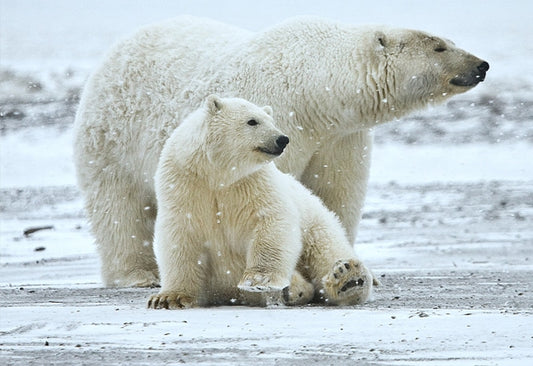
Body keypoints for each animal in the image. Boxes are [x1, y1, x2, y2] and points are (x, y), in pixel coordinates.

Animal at [75, 15, 486, 288]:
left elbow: (335, 195)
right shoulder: (282, 121)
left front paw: (351, 268)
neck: (316, 90)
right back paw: (138, 275)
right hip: (112, 139)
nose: (481, 65)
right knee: (119, 208)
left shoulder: (339, 137)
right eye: (439, 45)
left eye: (447, 39)